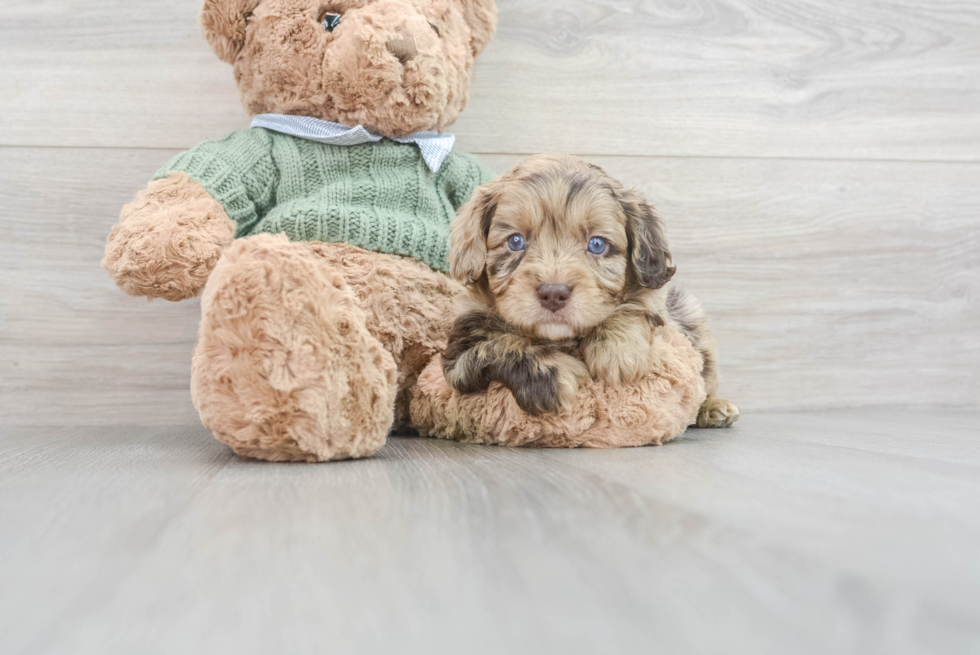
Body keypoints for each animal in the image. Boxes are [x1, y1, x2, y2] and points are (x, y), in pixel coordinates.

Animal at [442, 154, 736, 430]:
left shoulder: (658, 303)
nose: (553, 293)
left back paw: (714, 408)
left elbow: (638, 303)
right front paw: (555, 377)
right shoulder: (459, 359)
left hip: (691, 315)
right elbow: (499, 345)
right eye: (515, 241)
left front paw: (618, 350)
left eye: (597, 244)